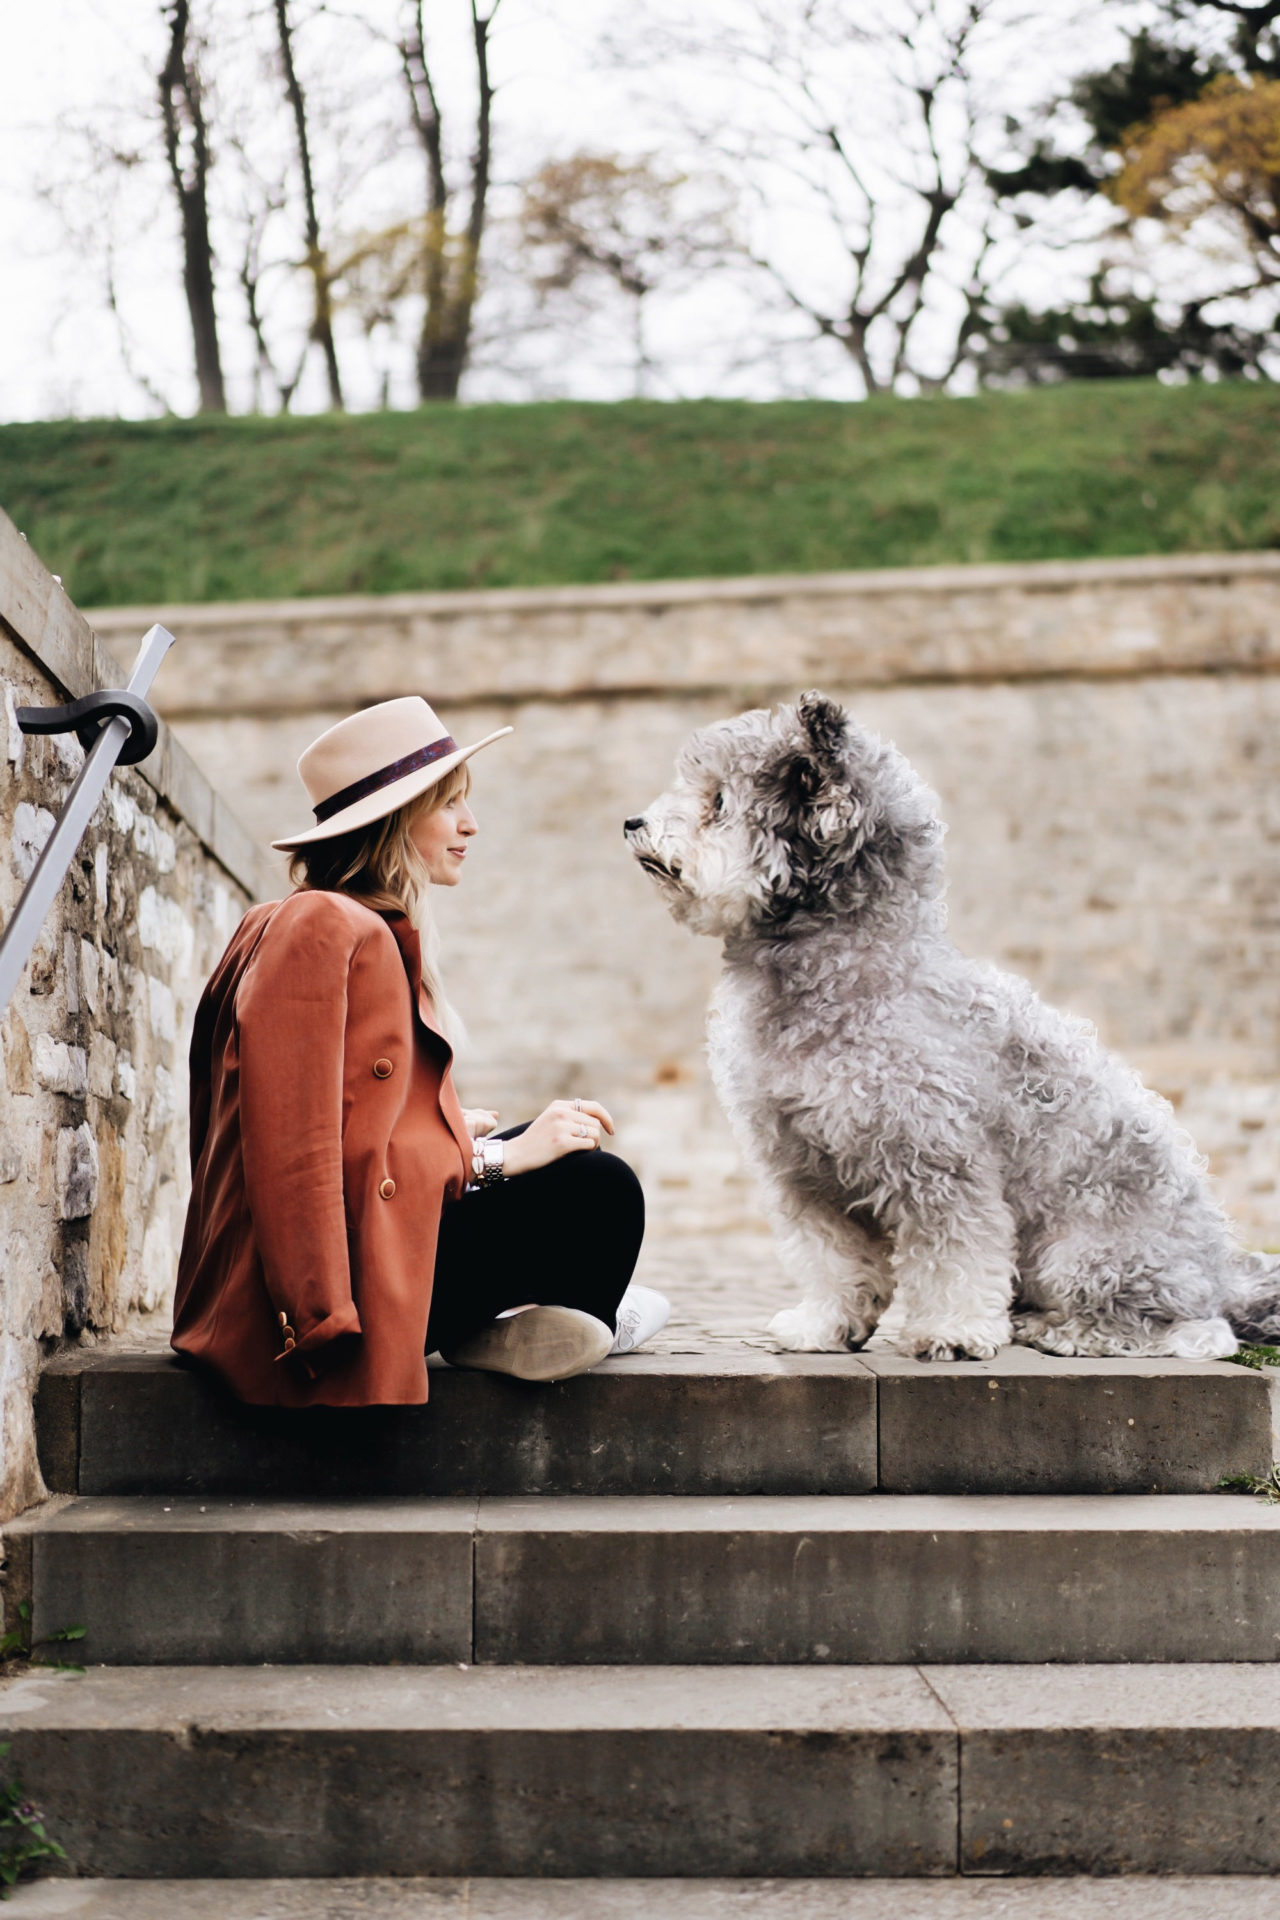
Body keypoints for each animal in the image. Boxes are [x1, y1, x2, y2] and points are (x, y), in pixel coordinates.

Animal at [629, 691, 1280, 1367]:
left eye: (718, 803)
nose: (632, 823)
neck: (854, 977)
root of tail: (1221, 1275)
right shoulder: (808, 1172)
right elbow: (836, 1265)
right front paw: (825, 1326)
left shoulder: (938, 1162)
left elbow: (956, 1257)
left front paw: (954, 1332)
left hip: (1085, 1258)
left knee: (1188, 1331)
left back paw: (1063, 1331)